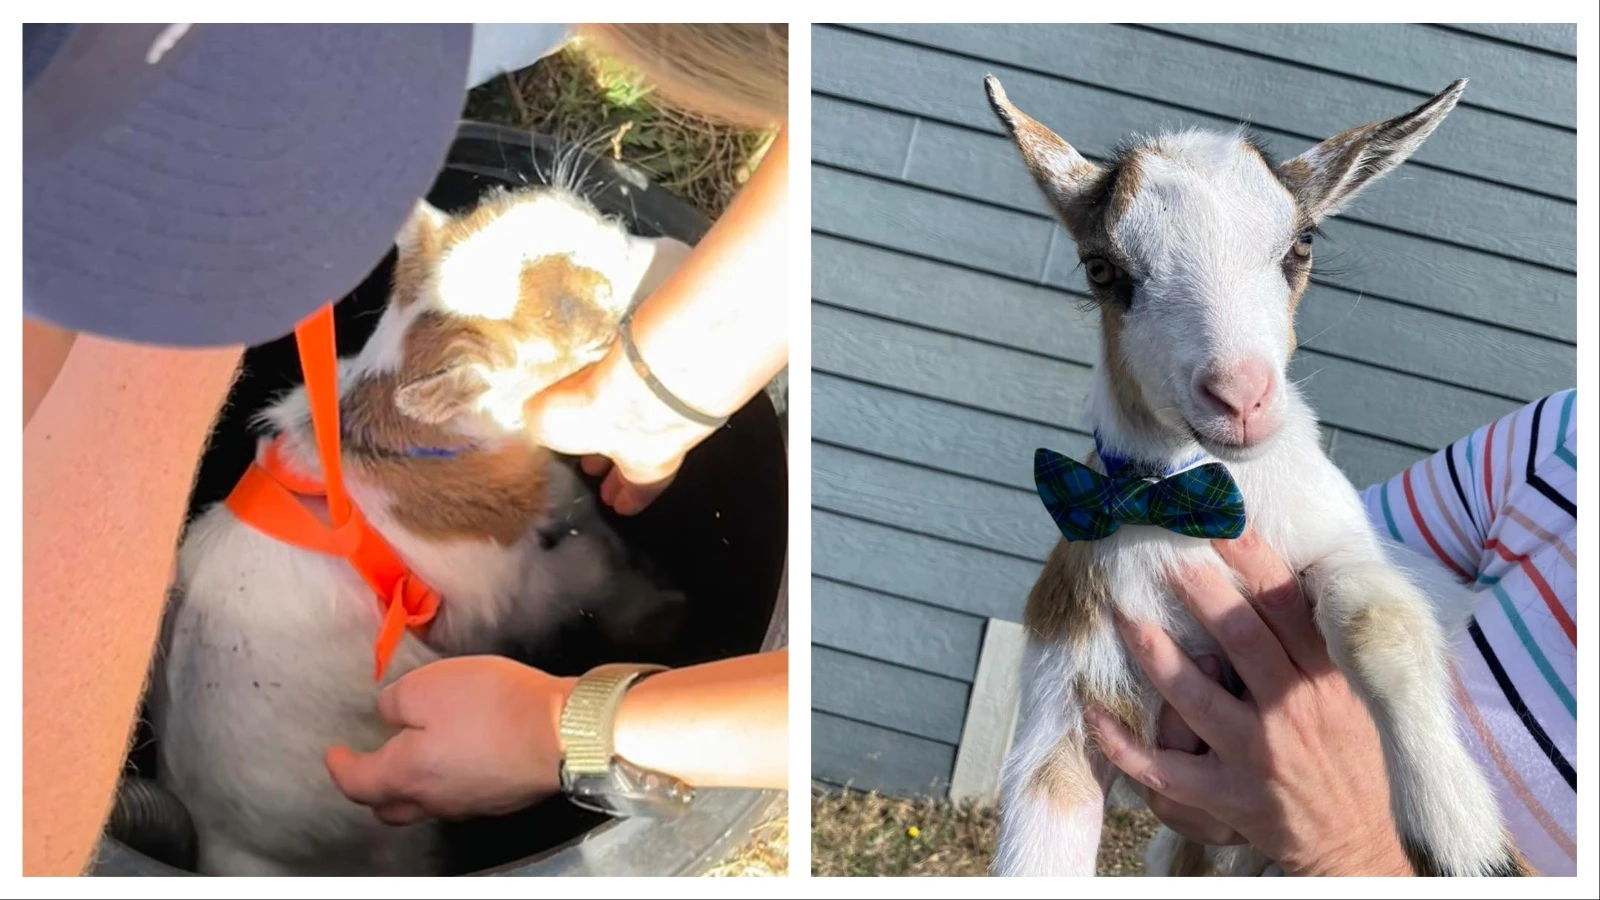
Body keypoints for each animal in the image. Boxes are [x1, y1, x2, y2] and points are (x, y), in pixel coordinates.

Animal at [984, 75, 1527, 877]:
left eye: (1300, 244)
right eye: (1102, 267)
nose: (1240, 396)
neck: (1181, 506)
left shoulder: (1358, 554)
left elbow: (1379, 619)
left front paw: (1462, 835)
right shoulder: (1066, 699)